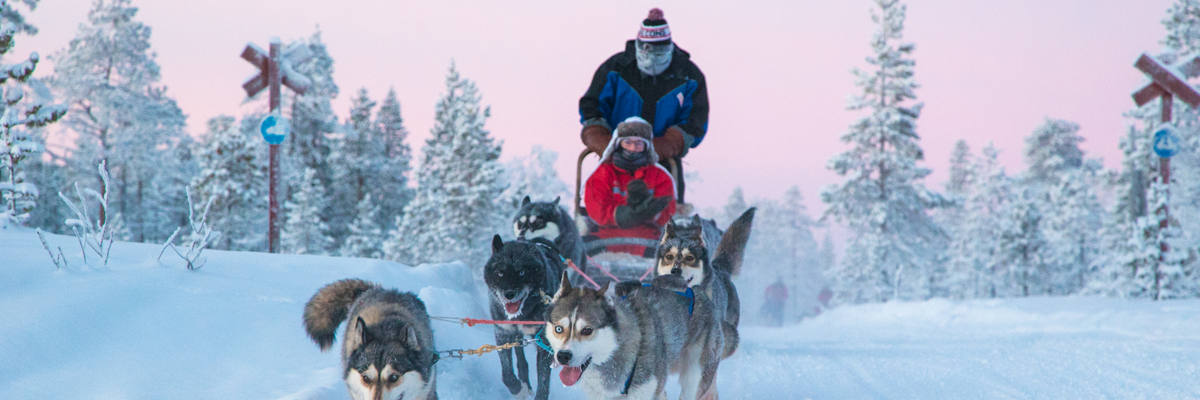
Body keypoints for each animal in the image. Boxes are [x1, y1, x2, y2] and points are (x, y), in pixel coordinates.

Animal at [484, 235, 564, 396]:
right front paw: (516, 387)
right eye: (500, 273)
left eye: (521, 272)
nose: (508, 294)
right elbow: (506, 373)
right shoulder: (503, 332)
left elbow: (543, 384)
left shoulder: (544, 342)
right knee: (520, 358)